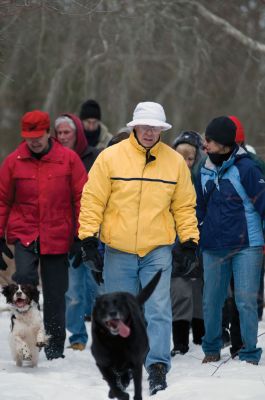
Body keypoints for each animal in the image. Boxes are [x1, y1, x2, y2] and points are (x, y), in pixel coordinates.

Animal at [90, 270, 161, 400]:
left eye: (117, 303)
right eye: (103, 305)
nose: (113, 313)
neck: (115, 340)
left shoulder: (136, 362)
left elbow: (137, 386)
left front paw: (136, 397)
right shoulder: (102, 364)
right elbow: (111, 383)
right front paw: (121, 394)